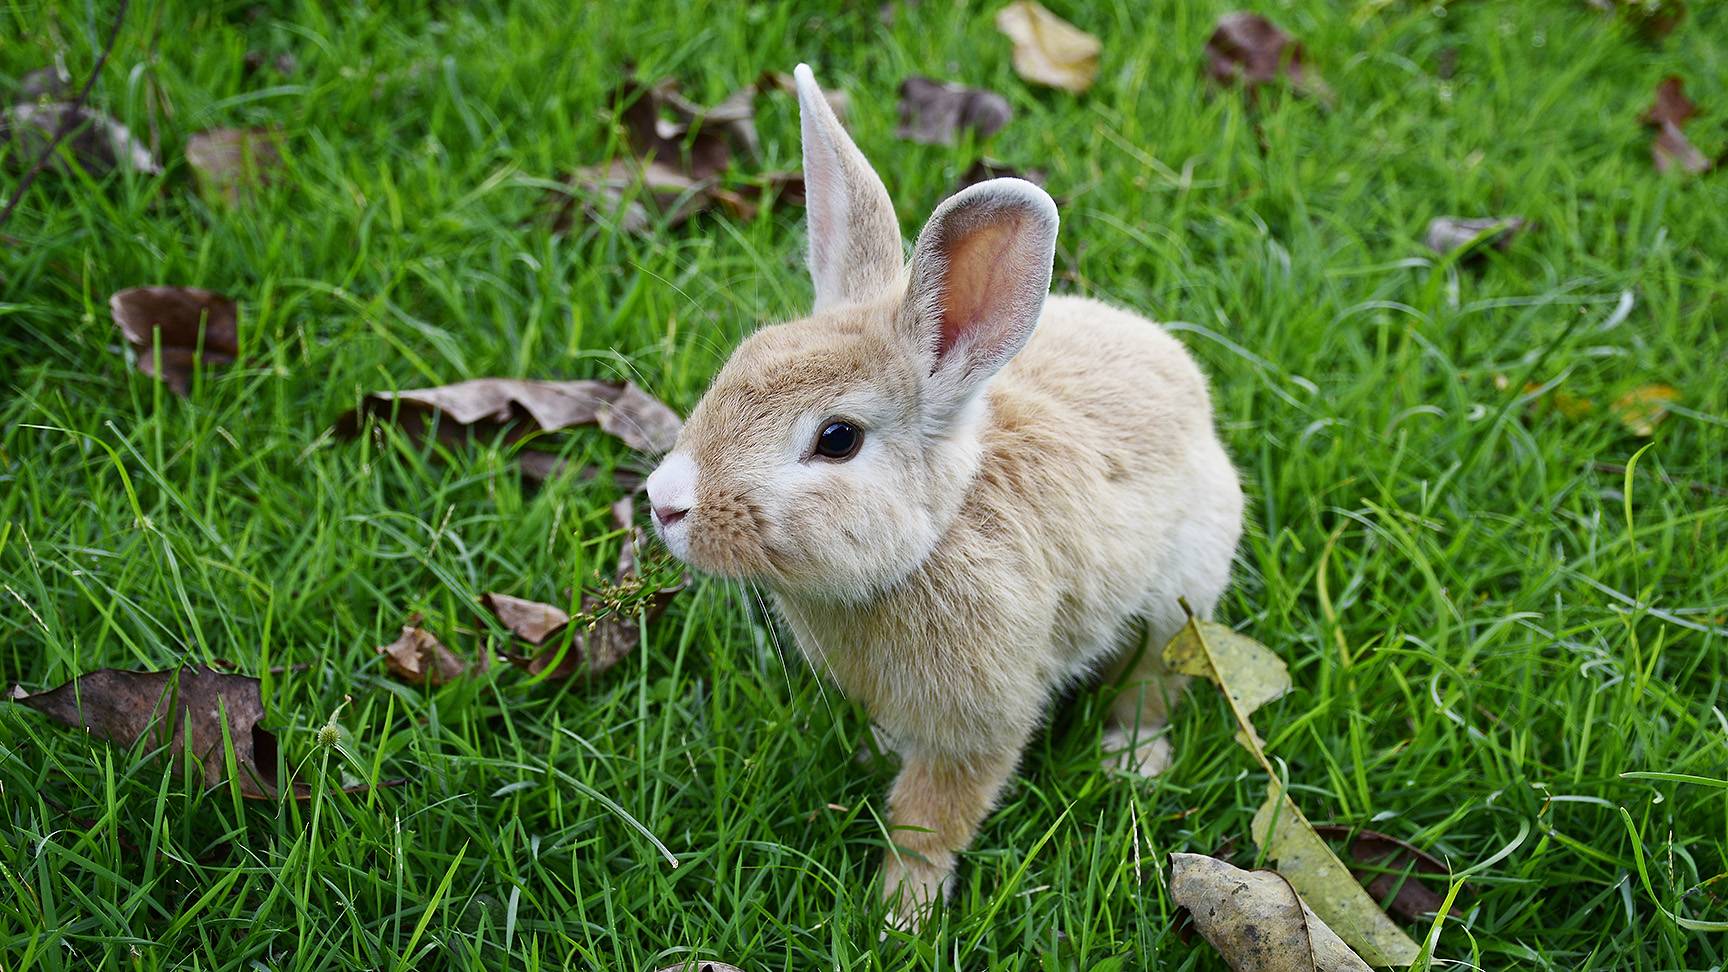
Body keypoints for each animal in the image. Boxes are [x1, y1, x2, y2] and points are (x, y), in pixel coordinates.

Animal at [643, 64, 1244, 928]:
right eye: (739, 361)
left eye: (837, 439)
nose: (664, 502)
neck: (932, 538)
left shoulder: (981, 721)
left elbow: (933, 817)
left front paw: (901, 917)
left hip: (1177, 600)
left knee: (1153, 681)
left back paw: (1134, 761)